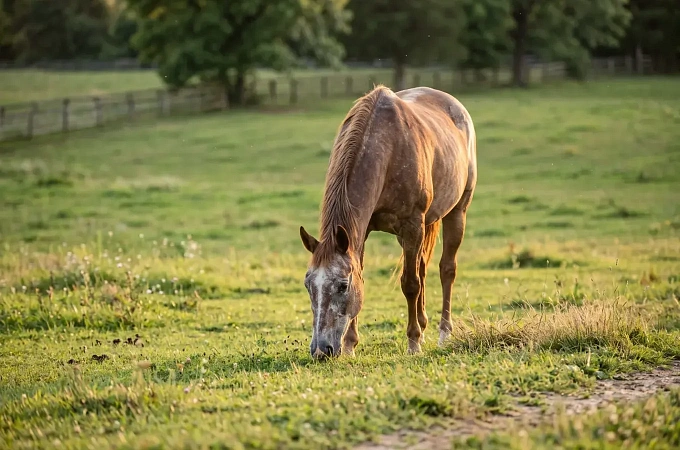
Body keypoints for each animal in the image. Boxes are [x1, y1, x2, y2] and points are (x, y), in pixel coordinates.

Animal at [299, 84, 477, 359]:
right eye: (308, 285)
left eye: (342, 286)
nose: (321, 350)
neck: (387, 149)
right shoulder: (361, 232)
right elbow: (369, 276)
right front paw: (350, 344)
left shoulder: (412, 225)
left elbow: (410, 284)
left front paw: (413, 342)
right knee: (422, 267)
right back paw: (423, 323)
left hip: (457, 212)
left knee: (446, 269)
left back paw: (443, 333)